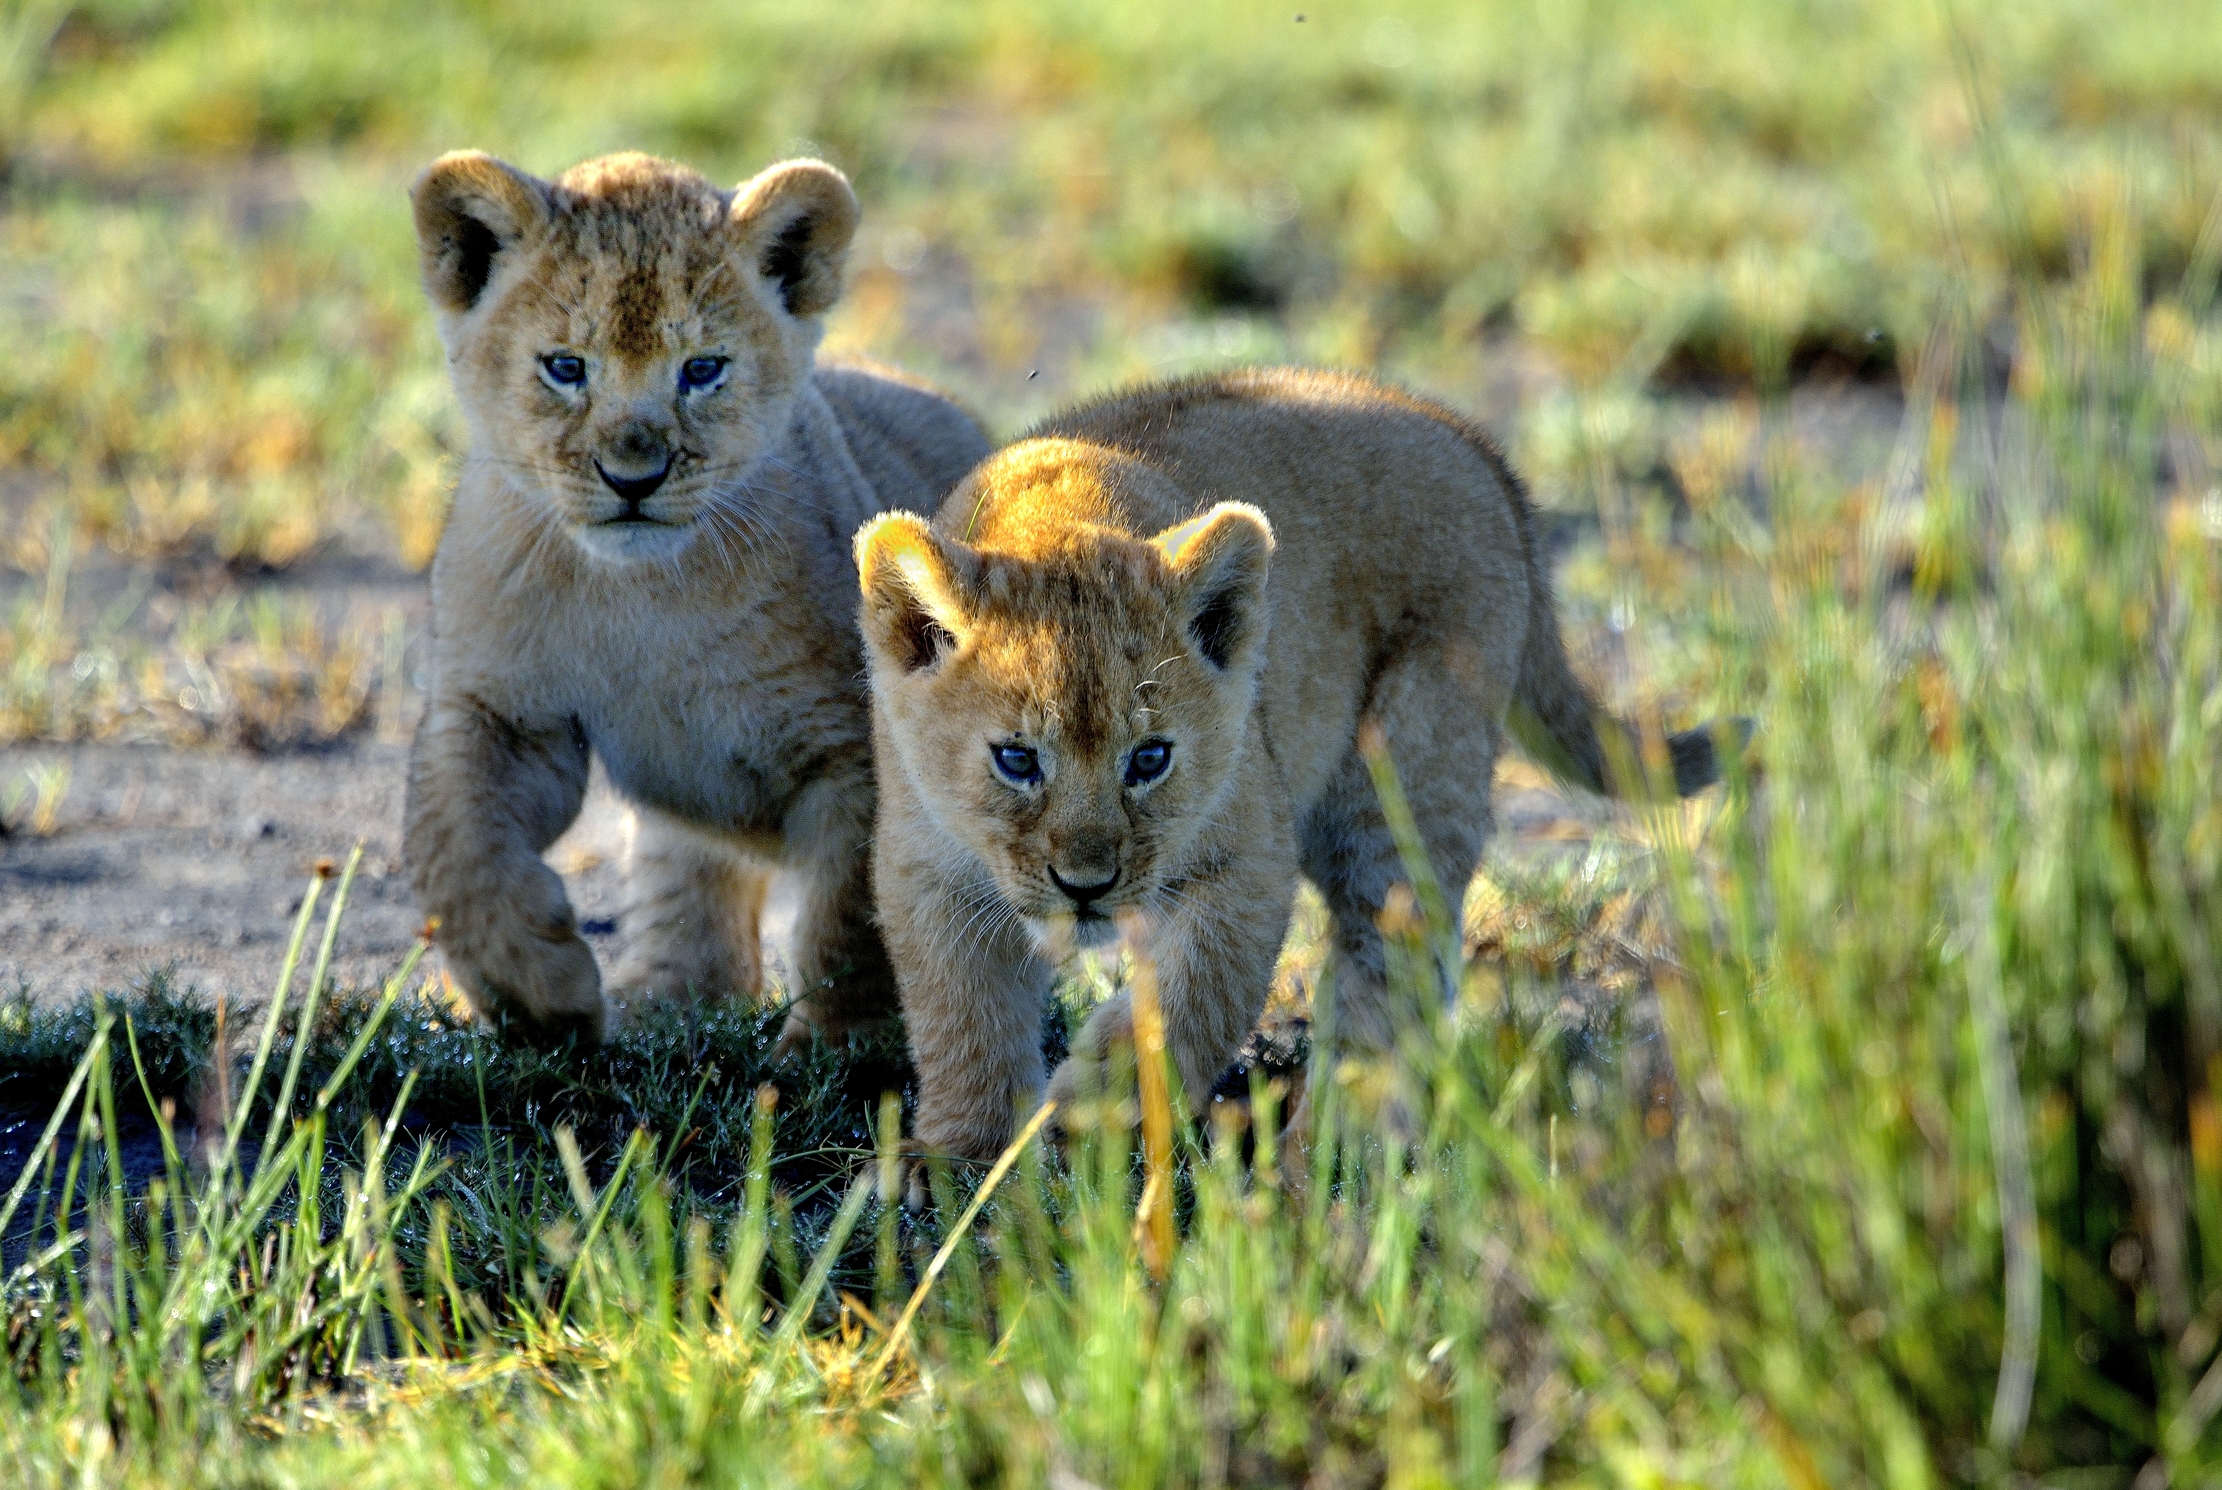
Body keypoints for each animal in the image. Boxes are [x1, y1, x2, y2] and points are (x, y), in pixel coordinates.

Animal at [402, 149, 989, 1044]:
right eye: (565, 367)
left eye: (702, 370)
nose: (633, 478)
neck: (641, 596)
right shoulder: (500, 711)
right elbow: (458, 851)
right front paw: (542, 1002)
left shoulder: (858, 747)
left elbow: (853, 920)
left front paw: (839, 1051)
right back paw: (668, 1000)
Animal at [854, 368, 1739, 1161]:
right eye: (1015, 759)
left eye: (1150, 758)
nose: (1086, 887)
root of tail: (1467, 439)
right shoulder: (923, 866)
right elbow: (963, 1020)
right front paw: (960, 1166)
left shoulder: (1252, 855)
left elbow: (1198, 994)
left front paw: (1096, 1105)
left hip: (1406, 781)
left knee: (1389, 971)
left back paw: (1329, 1160)